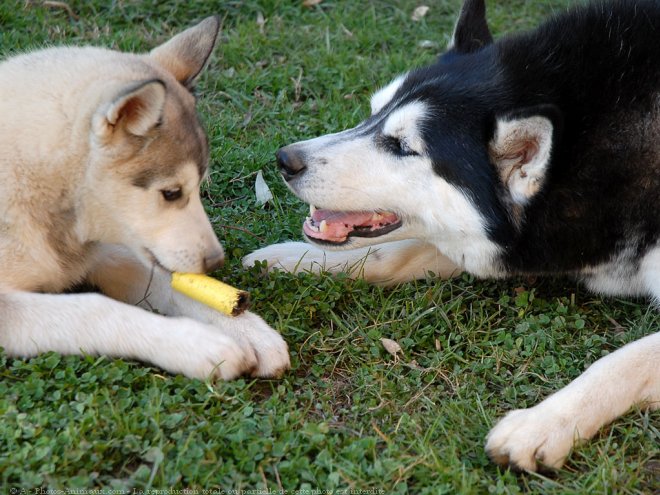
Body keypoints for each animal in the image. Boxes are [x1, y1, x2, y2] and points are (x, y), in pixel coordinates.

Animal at [0, 15, 288, 380]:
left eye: (200, 187)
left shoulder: (111, 252)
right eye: (172, 193)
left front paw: (247, 329)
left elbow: (172, 285)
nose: (215, 262)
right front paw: (197, 343)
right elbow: (93, 308)